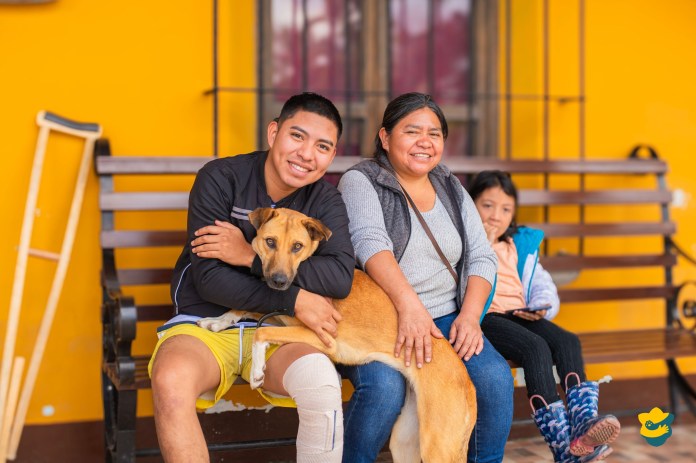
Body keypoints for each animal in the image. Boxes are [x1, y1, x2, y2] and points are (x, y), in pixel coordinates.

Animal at [198, 208, 476, 462]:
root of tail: (469, 385)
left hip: (437, 446)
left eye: (297, 246)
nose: (279, 282)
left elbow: (260, 331)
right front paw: (217, 322)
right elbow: (245, 310)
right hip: (404, 440)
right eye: (270, 242)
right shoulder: (280, 315)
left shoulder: (323, 338)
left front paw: (257, 372)